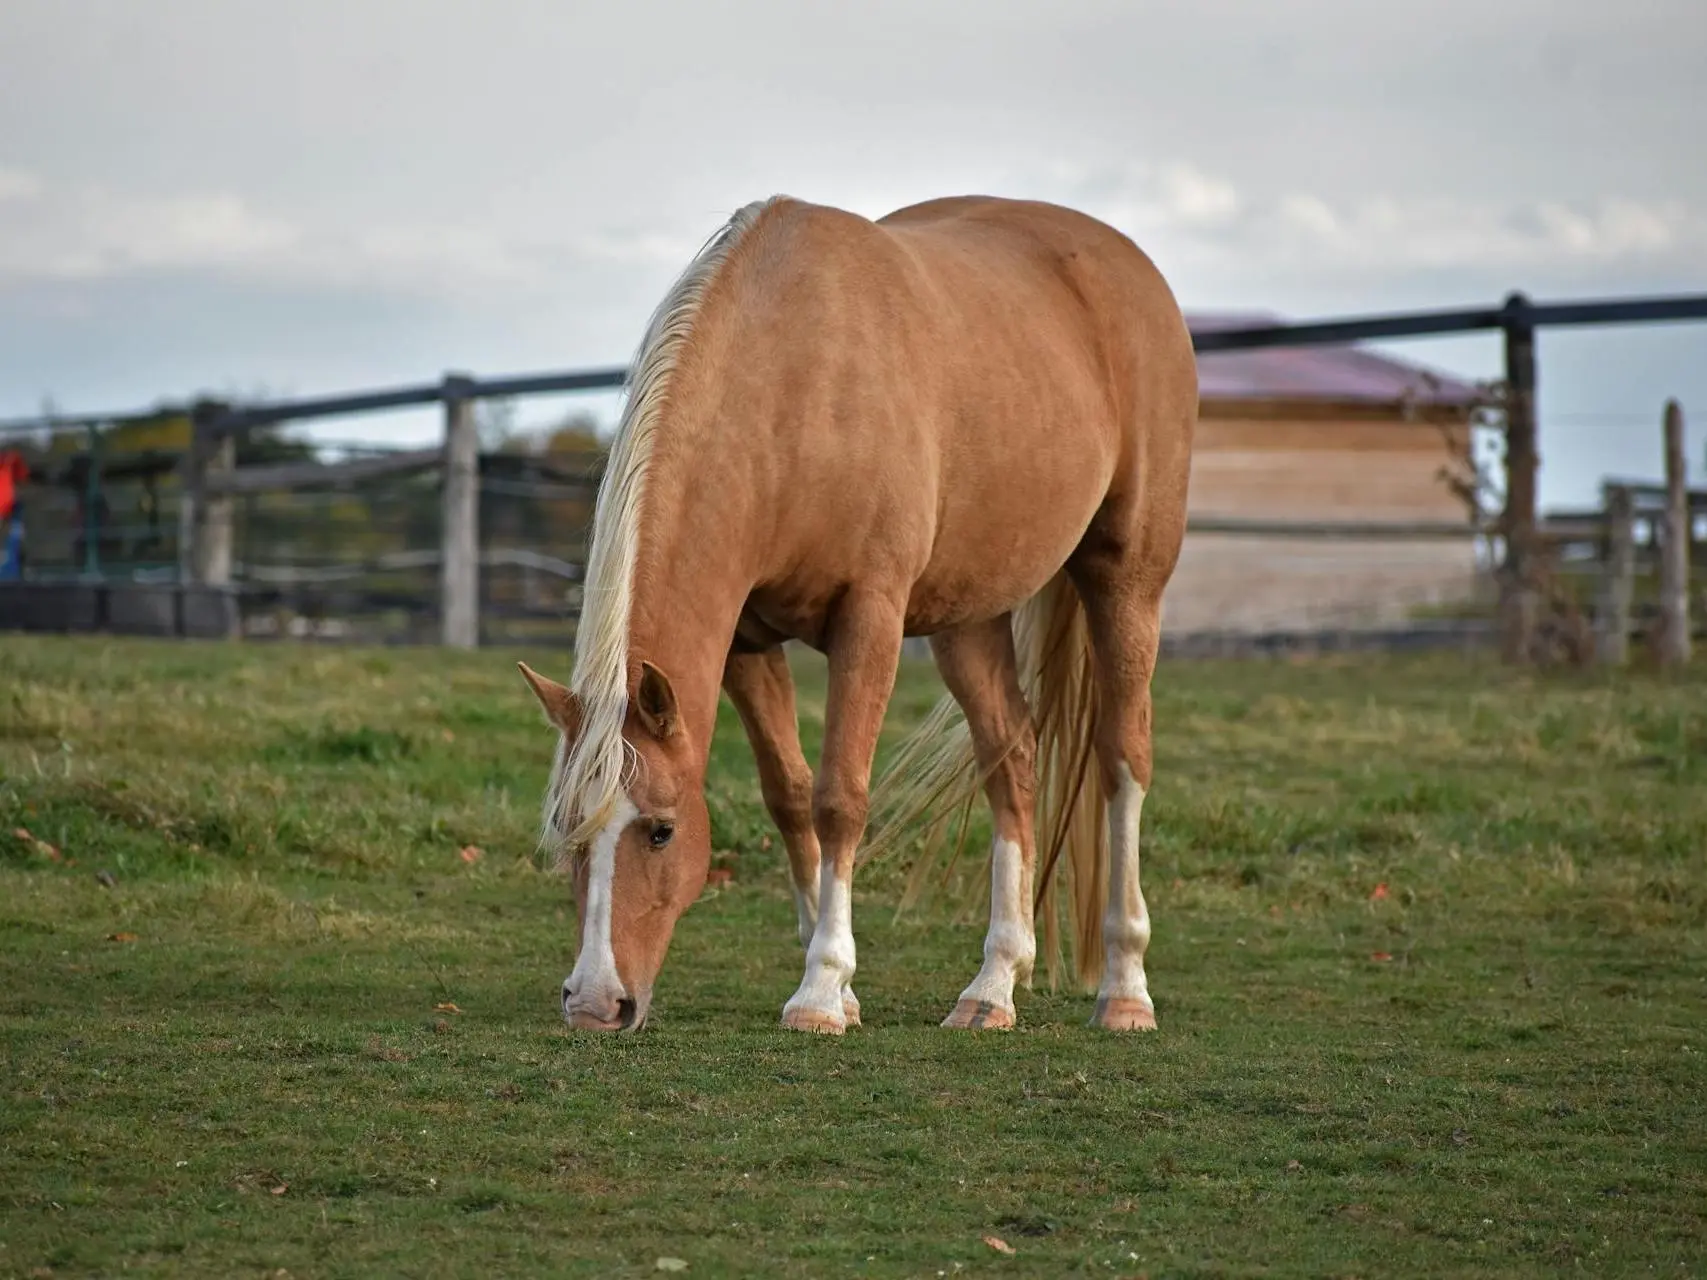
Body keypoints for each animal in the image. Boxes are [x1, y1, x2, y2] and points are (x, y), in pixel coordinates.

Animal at [512, 195, 1194, 1037]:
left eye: (661, 830)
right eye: (567, 828)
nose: (595, 1002)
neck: (793, 382)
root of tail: (1125, 264)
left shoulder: (867, 618)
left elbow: (839, 797)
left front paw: (819, 990)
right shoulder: (745, 641)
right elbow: (789, 795)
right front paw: (837, 983)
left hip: (1126, 580)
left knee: (1122, 758)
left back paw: (1125, 989)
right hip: (968, 617)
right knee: (1012, 759)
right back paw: (992, 986)